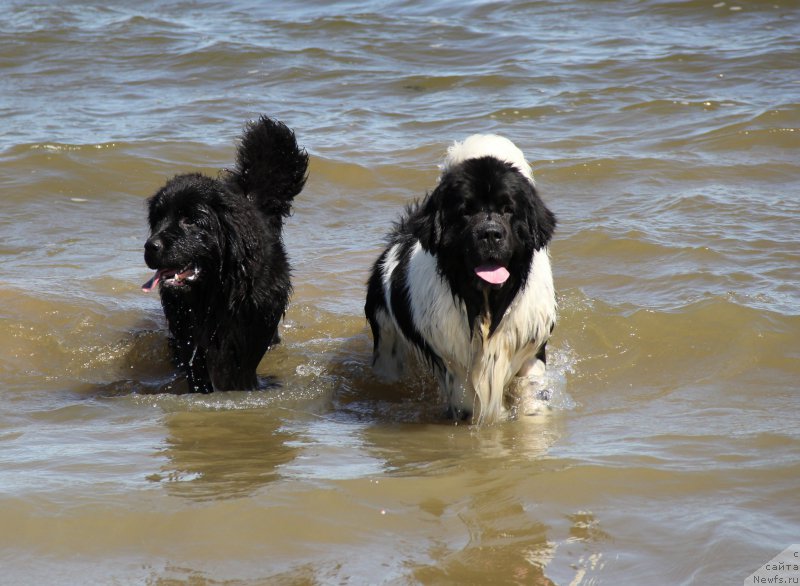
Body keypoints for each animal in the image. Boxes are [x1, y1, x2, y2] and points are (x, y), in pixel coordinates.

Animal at [142, 115, 308, 392]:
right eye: (158, 219)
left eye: (189, 220)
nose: (150, 246)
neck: (214, 290)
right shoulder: (185, 323)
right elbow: (196, 364)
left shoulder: (257, 315)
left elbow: (242, 362)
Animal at [364, 135, 556, 422]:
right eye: (465, 211)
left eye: (508, 209)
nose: (490, 233)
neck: (486, 308)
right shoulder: (456, 369)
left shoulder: (531, 348)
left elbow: (532, 397)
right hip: (386, 341)